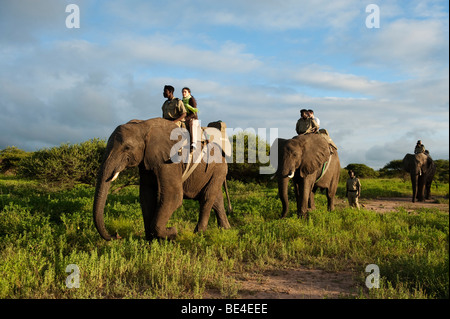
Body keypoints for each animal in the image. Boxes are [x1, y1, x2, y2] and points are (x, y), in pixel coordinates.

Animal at [92, 119, 232, 241]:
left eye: (127, 147)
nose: (117, 235)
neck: (143, 126)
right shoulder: (147, 160)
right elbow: (146, 195)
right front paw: (150, 241)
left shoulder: (169, 160)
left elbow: (173, 196)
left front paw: (172, 232)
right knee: (216, 199)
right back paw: (225, 230)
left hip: (218, 169)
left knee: (207, 197)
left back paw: (199, 234)